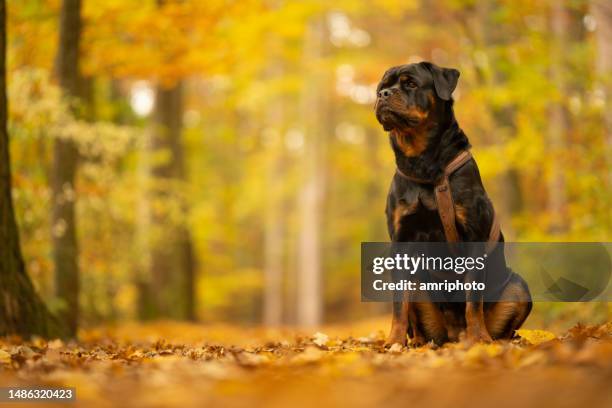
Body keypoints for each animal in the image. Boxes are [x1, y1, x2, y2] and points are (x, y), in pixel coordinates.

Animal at [372, 61, 532, 348]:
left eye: (410, 83)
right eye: (382, 86)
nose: (383, 95)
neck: (424, 164)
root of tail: (455, 334)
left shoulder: (473, 238)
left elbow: (473, 301)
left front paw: (480, 338)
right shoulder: (401, 242)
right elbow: (399, 305)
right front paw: (393, 341)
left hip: (518, 286)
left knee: (505, 325)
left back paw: (488, 338)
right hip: (421, 289)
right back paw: (417, 342)